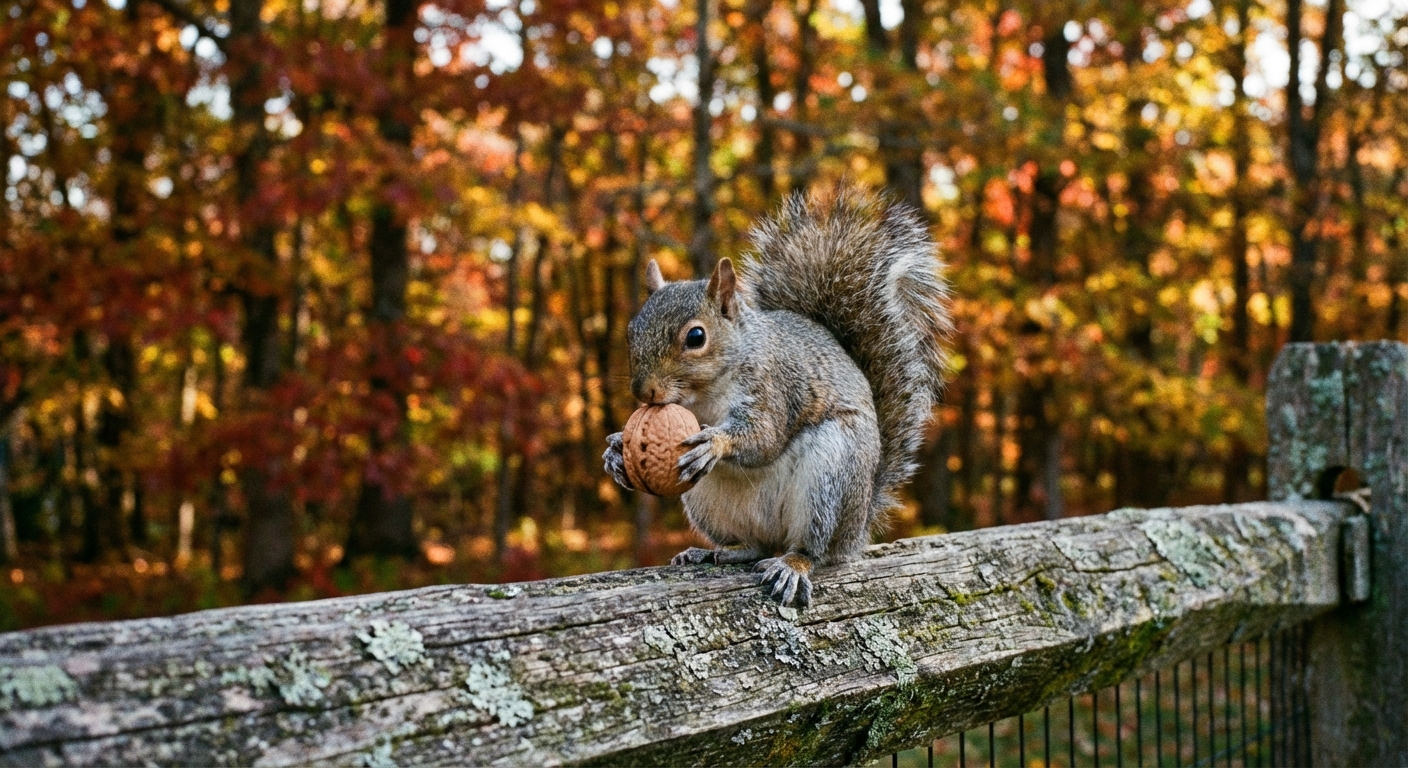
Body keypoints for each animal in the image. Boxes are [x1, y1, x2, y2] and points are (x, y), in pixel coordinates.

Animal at [603, 188, 951, 607]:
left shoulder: (774, 389)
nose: (643, 391)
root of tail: (857, 529)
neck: (703, 397)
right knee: (754, 544)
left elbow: (764, 437)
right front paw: (616, 450)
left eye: (696, 337)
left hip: (831, 478)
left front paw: (714, 442)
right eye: (631, 331)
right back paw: (714, 551)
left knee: (813, 549)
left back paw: (792, 565)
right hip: (707, 503)